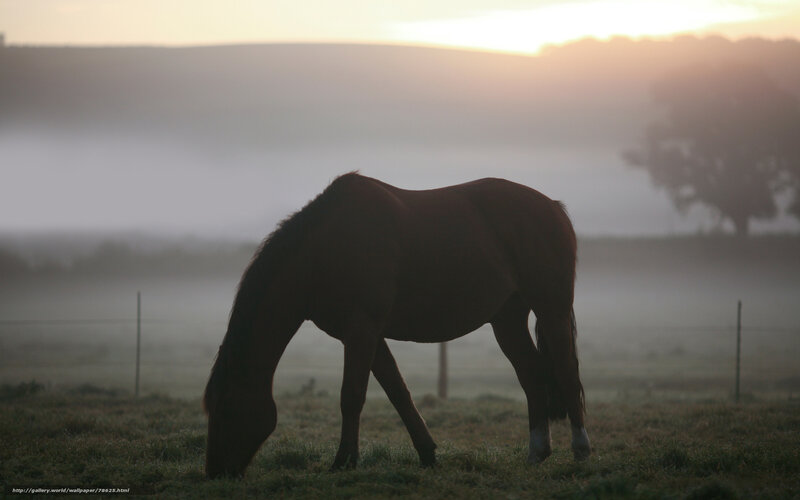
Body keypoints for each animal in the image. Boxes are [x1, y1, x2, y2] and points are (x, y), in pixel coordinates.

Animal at [203, 172, 591, 478]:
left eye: (224, 408)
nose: (214, 472)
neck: (326, 250)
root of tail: (553, 207)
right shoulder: (366, 335)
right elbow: (398, 393)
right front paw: (428, 454)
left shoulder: (362, 331)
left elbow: (352, 396)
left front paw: (343, 462)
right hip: (506, 320)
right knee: (531, 375)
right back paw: (537, 452)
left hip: (552, 310)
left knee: (567, 372)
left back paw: (581, 451)